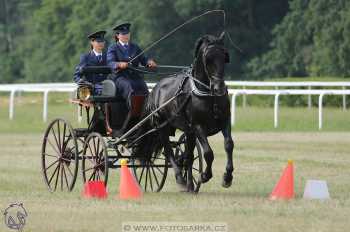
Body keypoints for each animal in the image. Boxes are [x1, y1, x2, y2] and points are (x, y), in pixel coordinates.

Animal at [138, 32, 234, 192]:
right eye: (208, 59)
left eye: (224, 56)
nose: (219, 88)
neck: (208, 94)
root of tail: (155, 89)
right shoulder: (198, 126)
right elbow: (208, 153)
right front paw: (205, 175)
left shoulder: (224, 121)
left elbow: (229, 145)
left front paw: (227, 177)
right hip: (163, 127)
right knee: (169, 151)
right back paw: (181, 179)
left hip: (188, 132)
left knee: (188, 156)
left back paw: (189, 185)